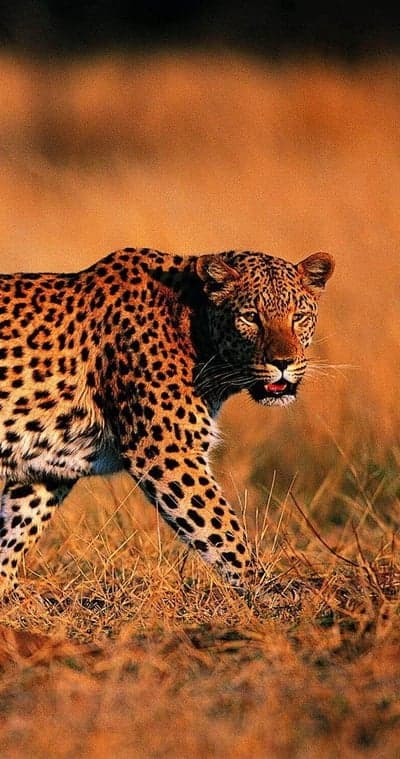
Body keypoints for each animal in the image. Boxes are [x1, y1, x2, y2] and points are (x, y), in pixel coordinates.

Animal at [0, 246, 334, 600]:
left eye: (298, 317)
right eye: (250, 317)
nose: (283, 363)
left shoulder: (48, 464)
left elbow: (19, 523)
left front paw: (8, 591)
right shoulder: (167, 451)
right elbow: (221, 526)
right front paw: (267, 588)